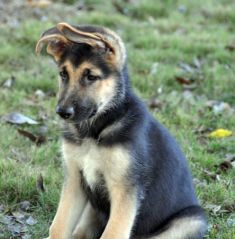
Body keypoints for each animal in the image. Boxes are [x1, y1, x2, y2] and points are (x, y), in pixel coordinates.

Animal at [35, 22, 207, 239]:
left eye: (91, 76)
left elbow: (114, 232)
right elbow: (58, 226)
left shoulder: (125, 189)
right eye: (63, 74)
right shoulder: (74, 180)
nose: (62, 112)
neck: (94, 132)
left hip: (193, 219)